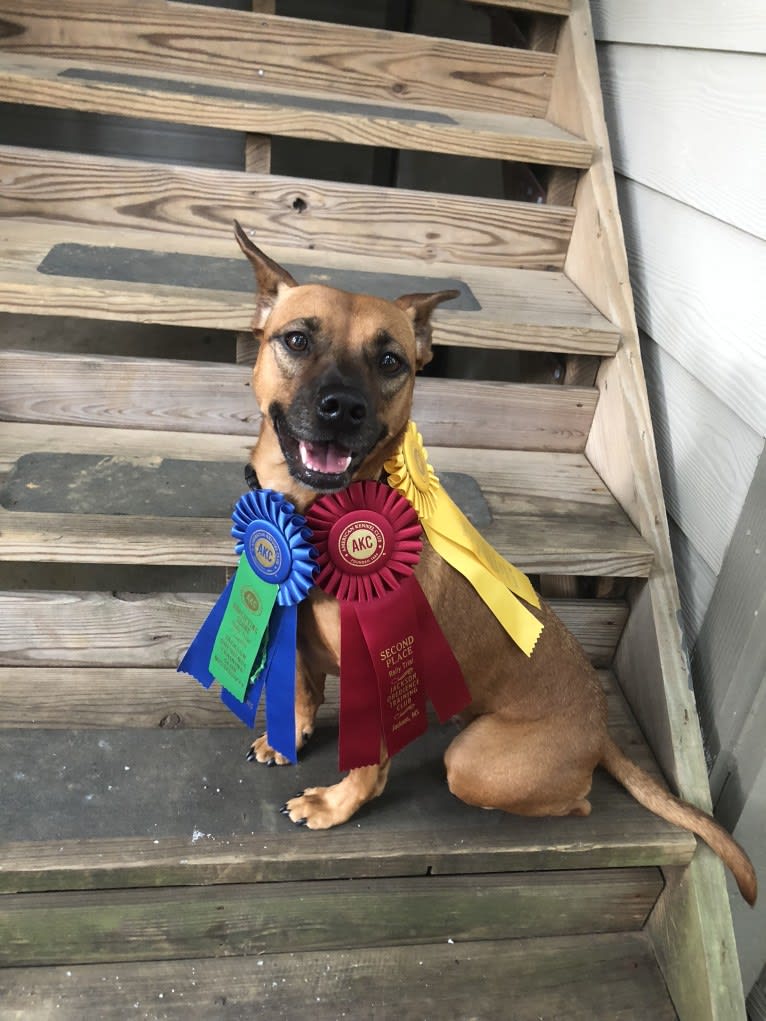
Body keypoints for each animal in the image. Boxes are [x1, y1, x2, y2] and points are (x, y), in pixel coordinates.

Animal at [232, 221, 755, 902]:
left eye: (390, 361)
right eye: (296, 339)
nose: (342, 408)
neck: (317, 515)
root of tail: (599, 732)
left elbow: (368, 763)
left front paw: (336, 805)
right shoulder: (294, 634)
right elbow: (300, 690)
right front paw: (287, 737)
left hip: (475, 763)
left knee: (574, 800)